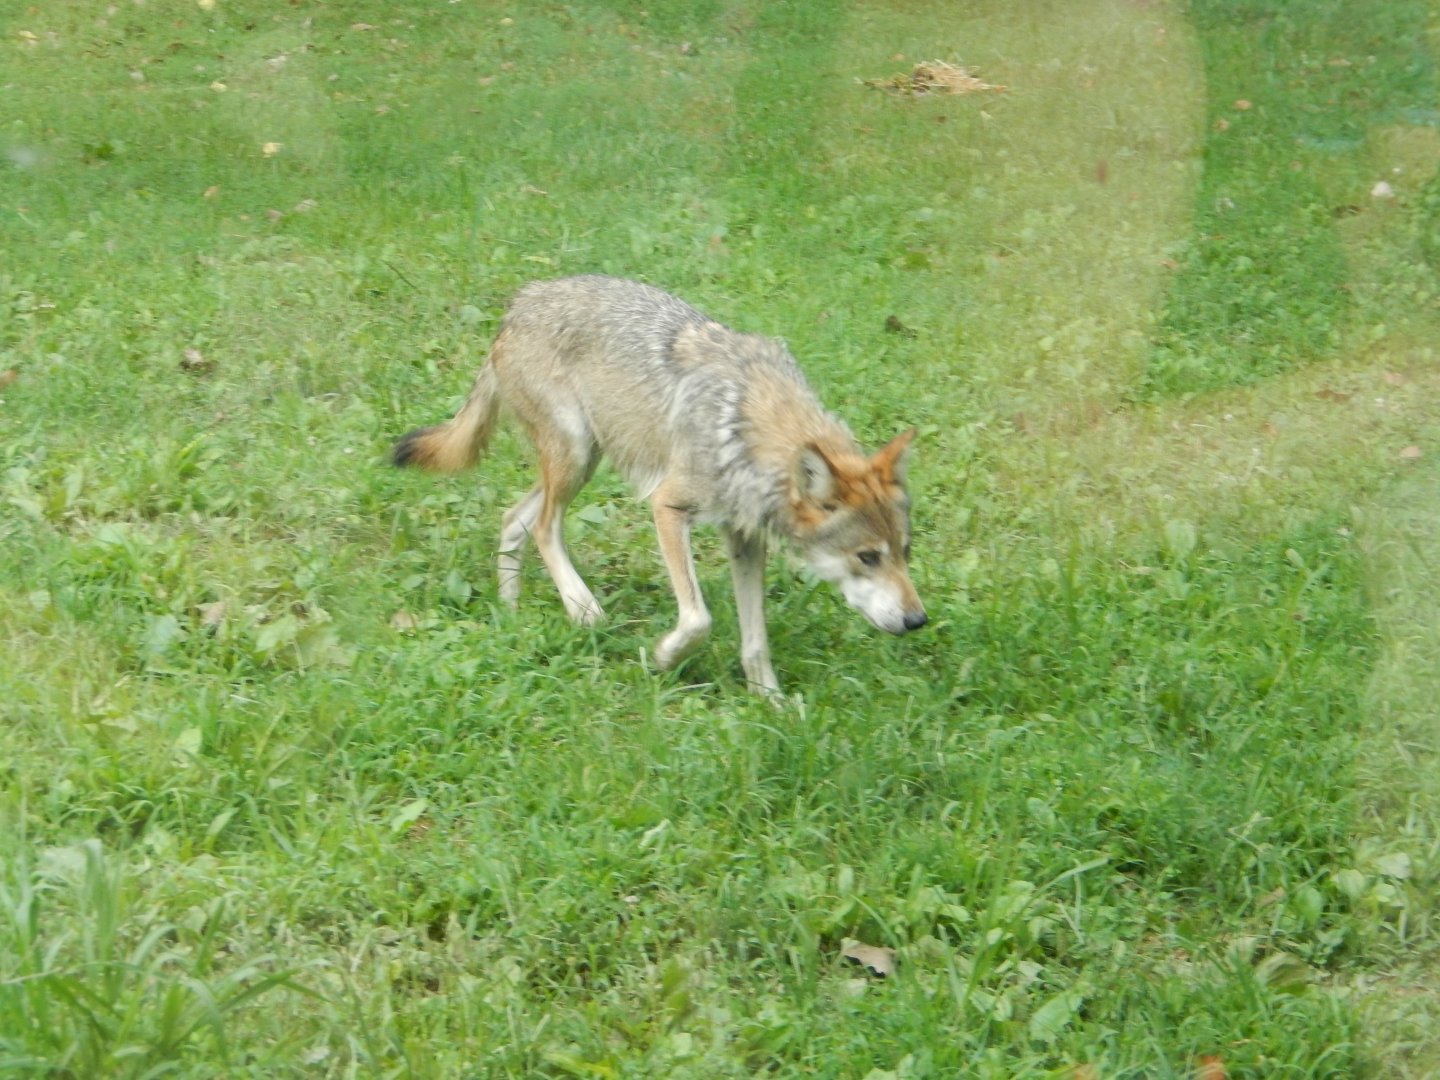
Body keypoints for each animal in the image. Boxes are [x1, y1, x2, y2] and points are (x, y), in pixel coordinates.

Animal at [392, 276, 925, 694]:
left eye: (905, 551)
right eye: (868, 557)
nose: (918, 620)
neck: (746, 427)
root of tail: (520, 302)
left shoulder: (745, 539)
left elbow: (755, 641)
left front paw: (773, 705)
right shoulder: (667, 507)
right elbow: (698, 620)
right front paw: (664, 657)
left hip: (584, 461)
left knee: (512, 520)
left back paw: (511, 612)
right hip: (576, 456)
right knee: (543, 528)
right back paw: (584, 610)